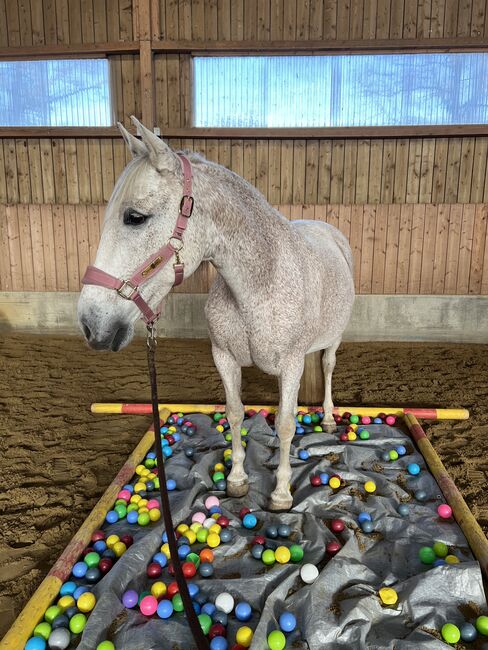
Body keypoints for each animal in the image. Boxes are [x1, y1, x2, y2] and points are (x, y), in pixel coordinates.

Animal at [78, 117, 355, 511]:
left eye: (135, 217)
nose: (90, 323)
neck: (260, 283)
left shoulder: (291, 363)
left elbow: (286, 423)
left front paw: (281, 493)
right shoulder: (224, 357)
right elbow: (235, 412)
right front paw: (238, 479)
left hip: (334, 338)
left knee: (329, 366)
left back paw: (330, 418)